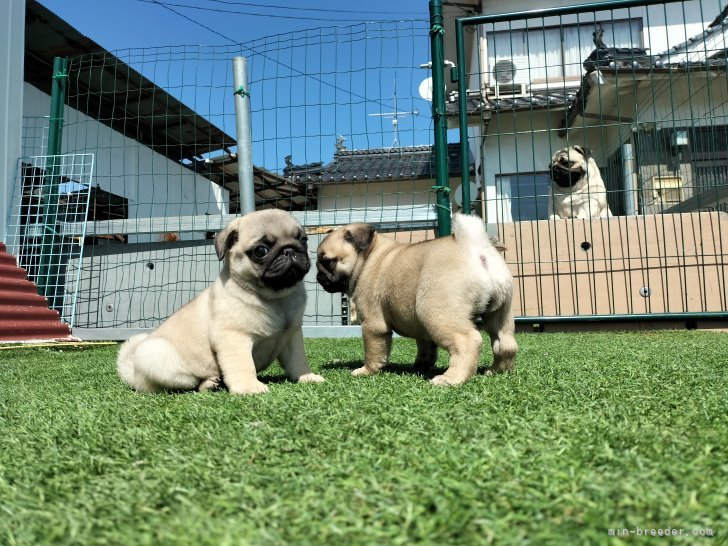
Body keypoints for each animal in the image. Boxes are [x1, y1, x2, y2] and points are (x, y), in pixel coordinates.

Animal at [117, 209, 324, 396]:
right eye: (261, 251)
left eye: (303, 240)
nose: (289, 250)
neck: (276, 298)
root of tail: (133, 374)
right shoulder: (234, 338)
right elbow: (243, 365)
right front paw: (249, 387)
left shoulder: (292, 337)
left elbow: (298, 361)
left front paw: (306, 377)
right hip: (163, 363)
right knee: (185, 383)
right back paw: (208, 383)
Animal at [316, 210, 516, 384]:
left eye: (327, 261)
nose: (318, 277)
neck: (370, 257)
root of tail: (474, 248)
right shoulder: (421, 330)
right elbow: (426, 348)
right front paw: (420, 366)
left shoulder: (373, 325)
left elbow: (374, 350)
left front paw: (367, 370)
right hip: (500, 312)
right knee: (505, 343)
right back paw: (497, 371)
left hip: (434, 312)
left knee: (467, 341)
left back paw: (451, 379)